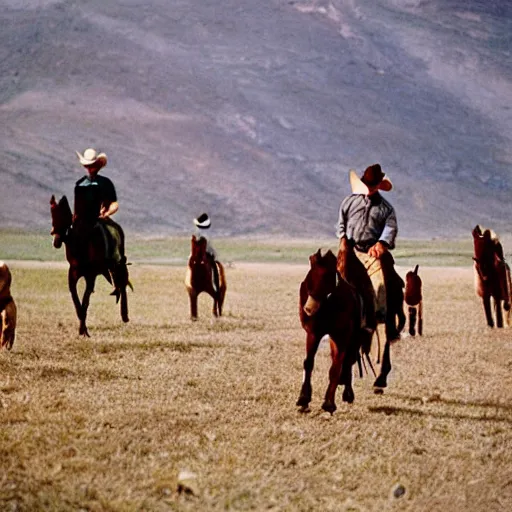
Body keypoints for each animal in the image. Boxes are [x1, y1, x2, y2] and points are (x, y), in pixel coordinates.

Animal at [50, 195, 131, 336]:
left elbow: (85, 301)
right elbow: (76, 300)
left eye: (64, 215)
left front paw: (83, 329)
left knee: (122, 281)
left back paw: (124, 315)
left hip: (119, 263)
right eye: (52, 216)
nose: (56, 241)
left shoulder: (91, 276)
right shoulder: (73, 273)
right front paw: (82, 327)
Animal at [296, 247, 364, 412]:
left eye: (327, 278)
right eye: (309, 278)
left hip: (352, 338)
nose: (308, 309)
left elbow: (336, 367)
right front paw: (303, 398)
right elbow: (308, 363)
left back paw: (348, 393)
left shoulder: (342, 336)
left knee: (348, 361)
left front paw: (329, 403)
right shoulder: (314, 333)